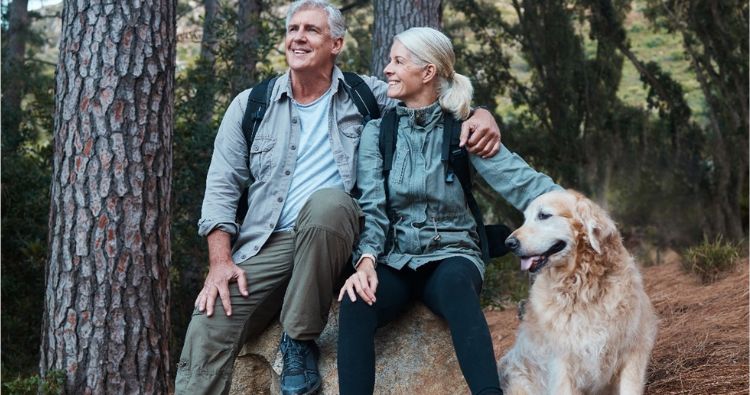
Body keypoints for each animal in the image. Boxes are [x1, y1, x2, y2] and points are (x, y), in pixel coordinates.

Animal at [500, 190, 656, 394]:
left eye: (543, 215)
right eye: (525, 219)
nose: (508, 243)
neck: (582, 287)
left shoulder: (633, 350)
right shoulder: (560, 365)